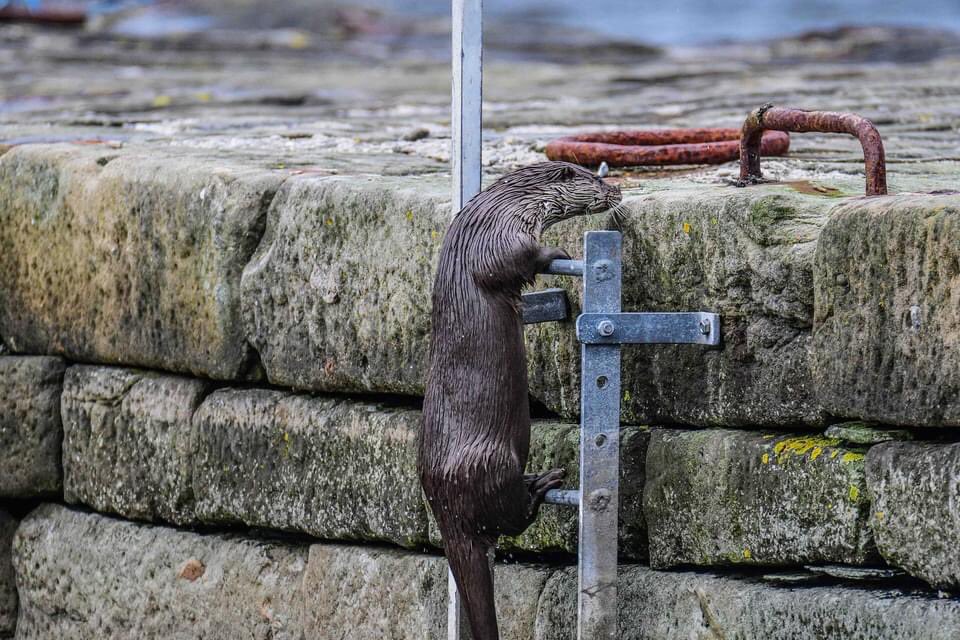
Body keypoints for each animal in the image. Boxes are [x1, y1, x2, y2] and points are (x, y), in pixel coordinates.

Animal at [419, 161, 622, 640]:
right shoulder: (496, 240)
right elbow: (514, 262)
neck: (501, 211)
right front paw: (556, 250)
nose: (618, 191)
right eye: (596, 180)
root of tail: (445, 507)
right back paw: (542, 484)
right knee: (512, 517)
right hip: (488, 463)